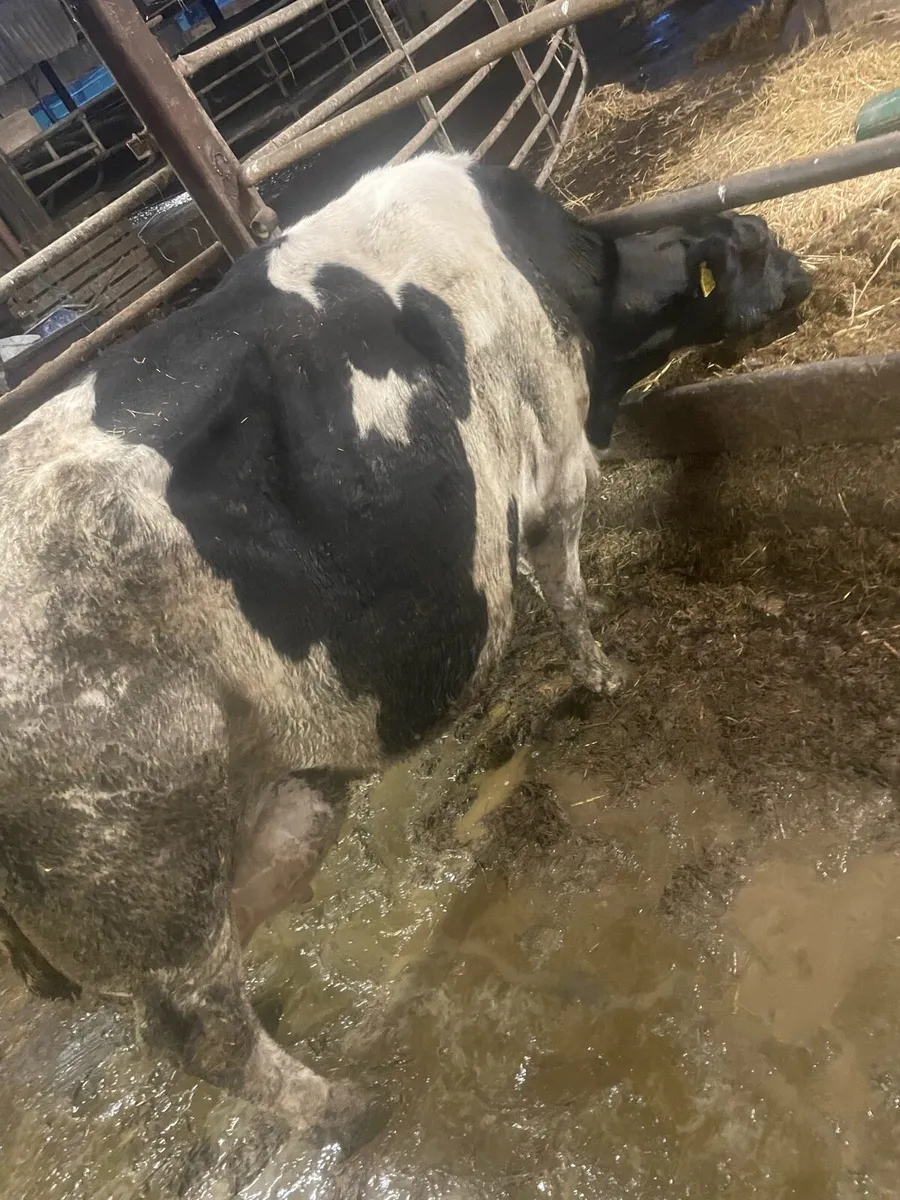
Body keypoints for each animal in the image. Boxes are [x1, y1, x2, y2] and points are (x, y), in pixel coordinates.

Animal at [0, 153, 810, 1141]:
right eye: (756, 241)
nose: (808, 277)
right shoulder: (555, 471)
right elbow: (567, 590)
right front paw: (604, 676)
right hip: (144, 870)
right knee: (201, 1035)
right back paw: (345, 1109)